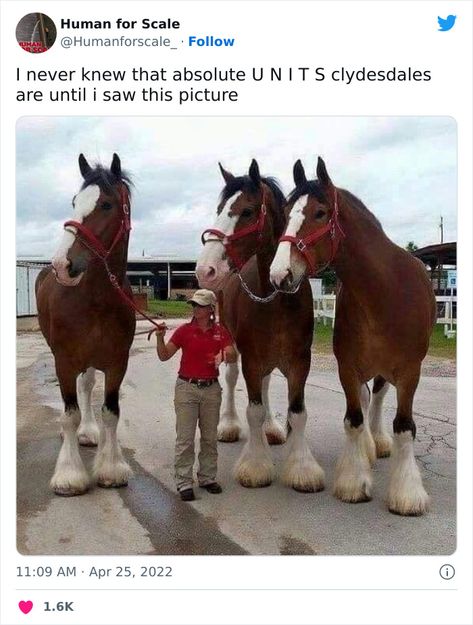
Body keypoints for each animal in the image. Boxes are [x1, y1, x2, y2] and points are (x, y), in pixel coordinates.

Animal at [34, 154, 135, 494]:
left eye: (106, 204)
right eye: (75, 202)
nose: (62, 265)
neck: (96, 301)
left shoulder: (117, 363)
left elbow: (111, 413)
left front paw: (111, 467)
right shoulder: (64, 362)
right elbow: (69, 414)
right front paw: (69, 474)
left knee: (88, 385)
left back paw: (89, 432)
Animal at [195, 161, 324, 492]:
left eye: (247, 211)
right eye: (220, 208)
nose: (205, 270)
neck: (278, 300)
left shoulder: (299, 362)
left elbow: (298, 413)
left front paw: (302, 468)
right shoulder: (251, 358)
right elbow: (252, 410)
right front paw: (255, 466)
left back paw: (270, 428)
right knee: (230, 379)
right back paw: (228, 424)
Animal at [270, 157, 436, 512]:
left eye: (320, 213)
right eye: (287, 211)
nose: (279, 275)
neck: (384, 293)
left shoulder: (410, 372)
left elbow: (404, 427)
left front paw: (406, 494)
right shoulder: (347, 367)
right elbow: (353, 419)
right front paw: (354, 481)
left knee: (379, 398)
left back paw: (380, 443)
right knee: (365, 399)